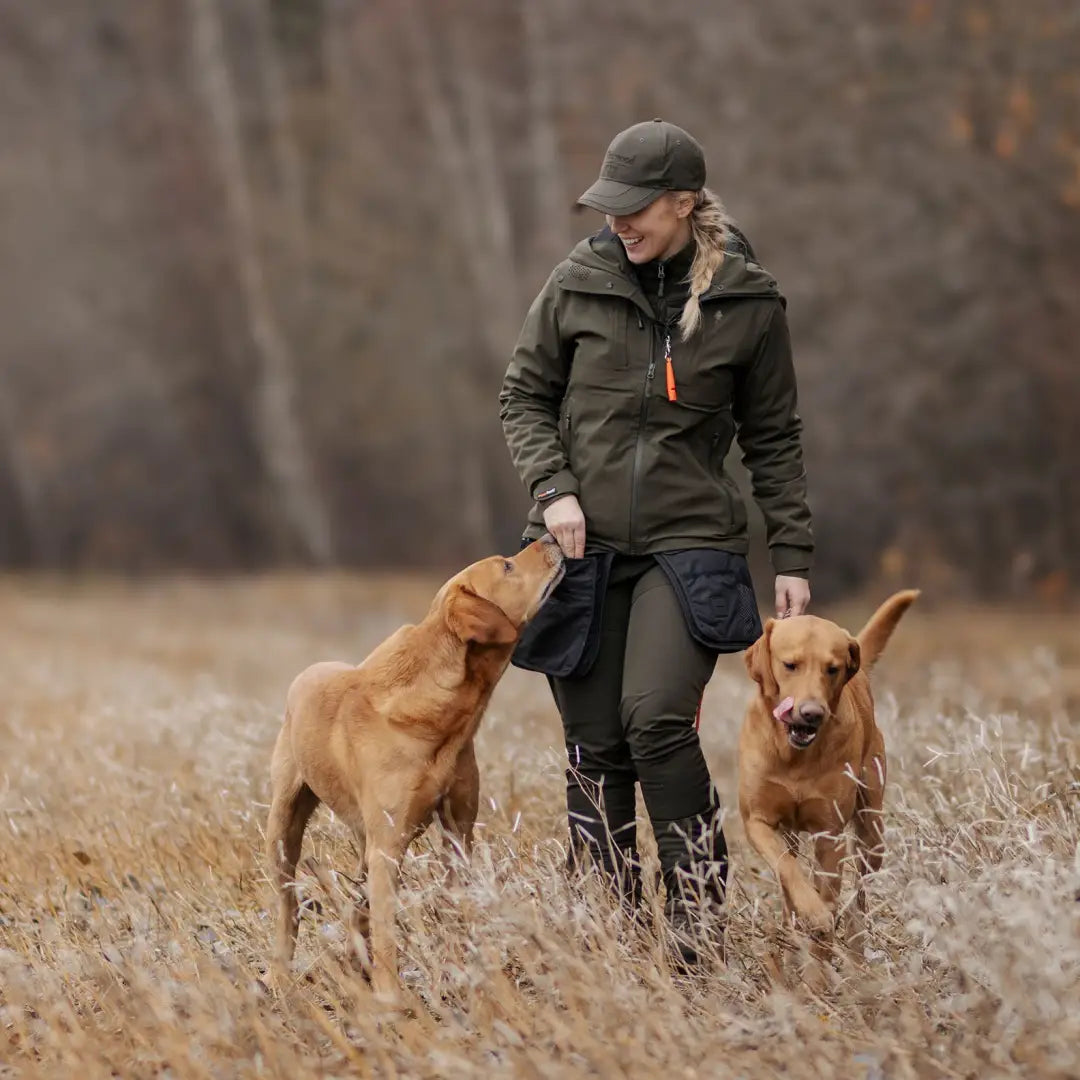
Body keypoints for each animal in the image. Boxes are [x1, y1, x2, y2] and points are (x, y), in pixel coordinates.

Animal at [266, 535, 565, 997]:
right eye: (507, 566)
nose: (551, 537)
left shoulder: (458, 833)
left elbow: (458, 907)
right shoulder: (388, 847)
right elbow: (388, 932)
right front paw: (390, 995)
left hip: (363, 842)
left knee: (355, 907)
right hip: (284, 825)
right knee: (289, 904)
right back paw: (280, 972)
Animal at [734, 591, 920, 963]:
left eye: (831, 669)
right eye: (790, 665)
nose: (811, 713)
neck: (795, 757)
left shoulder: (829, 832)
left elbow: (829, 892)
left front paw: (821, 949)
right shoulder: (758, 821)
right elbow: (787, 869)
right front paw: (811, 915)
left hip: (871, 829)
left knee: (860, 895)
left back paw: (855, 948)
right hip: (792, 832)